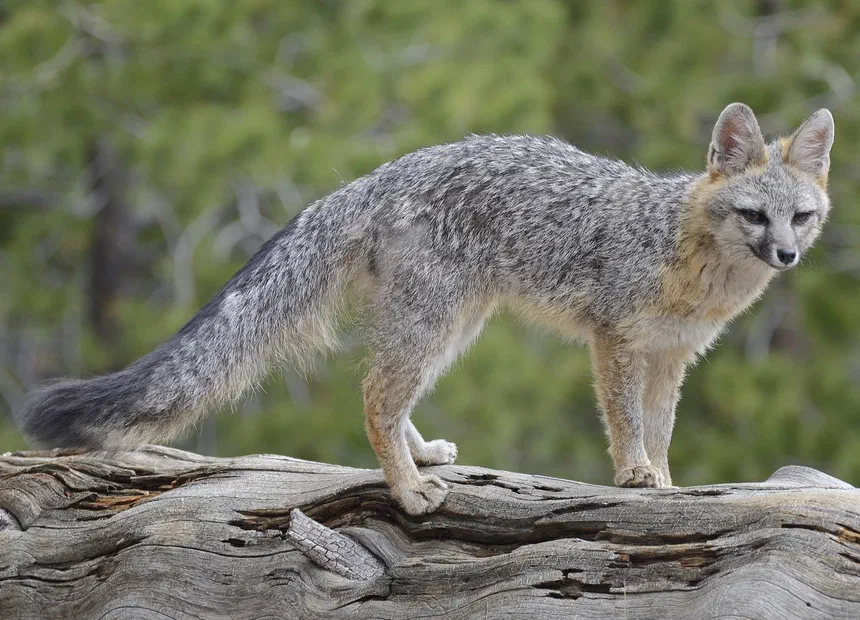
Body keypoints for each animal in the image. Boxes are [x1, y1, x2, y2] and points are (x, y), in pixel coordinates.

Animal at [17, 103, 834, 515]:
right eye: (755, 215)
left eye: (802, 218)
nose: (786, 257)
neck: (685, 254)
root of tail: (376, 175)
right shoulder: (616, 341)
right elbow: (627, 423)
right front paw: (635, 476)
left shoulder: (672, 356)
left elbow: (661, 430)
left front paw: (666, 481)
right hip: (436, 325)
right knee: (375, 396)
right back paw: (407, 489)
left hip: (453, 328)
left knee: (390, 395)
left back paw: (419, 458)